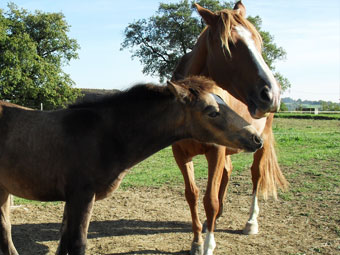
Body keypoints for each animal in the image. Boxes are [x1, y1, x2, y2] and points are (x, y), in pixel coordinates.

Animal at [0, 76, 262, 255]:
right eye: (212, 112)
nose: (256, 138)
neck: (105, 134)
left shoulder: (72, 199)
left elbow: (64, 242)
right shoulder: (82, 195)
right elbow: (76, 244)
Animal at [171, 1, 288, 255]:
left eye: (259, 42)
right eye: (230, 45)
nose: (272, 94)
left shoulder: (215, 151)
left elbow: (210, 201)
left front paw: (208, 245)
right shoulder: (181, 154)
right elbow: (192, 194)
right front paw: (197, 241)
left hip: (261, 142)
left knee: (256, 175)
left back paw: (251, 222)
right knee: (227, 172)